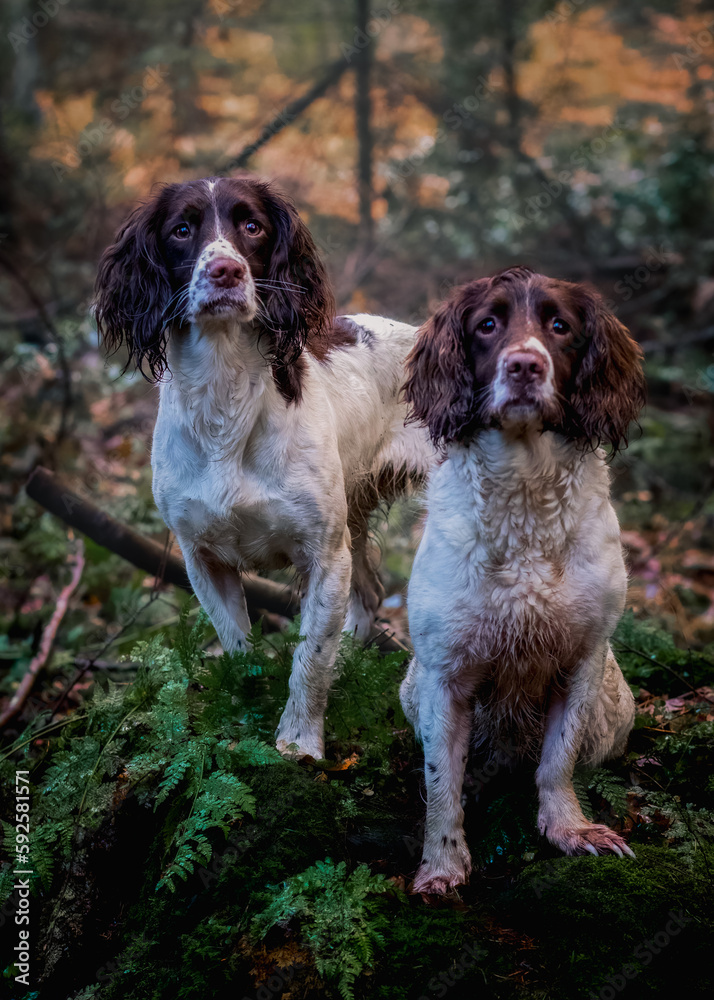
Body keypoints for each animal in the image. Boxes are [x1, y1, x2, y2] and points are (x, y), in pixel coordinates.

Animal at [92, 178, 432, 756]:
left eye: (252, 226)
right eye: (181, 229)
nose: (225, 271)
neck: (224, 399)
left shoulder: (324, 554)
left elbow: (310, 658)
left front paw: (300, 743)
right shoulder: (203, 557)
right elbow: (238, 646)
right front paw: (246, 716)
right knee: (369, 595)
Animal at [398, 266, 644, 892]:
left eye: (560, 326)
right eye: (488, 325)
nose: (525, 366)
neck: (525, 494)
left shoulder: (582, 657)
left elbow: (558, 759)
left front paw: (569, 829)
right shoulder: (443, 674)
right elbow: (441, 782)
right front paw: (441, 865)